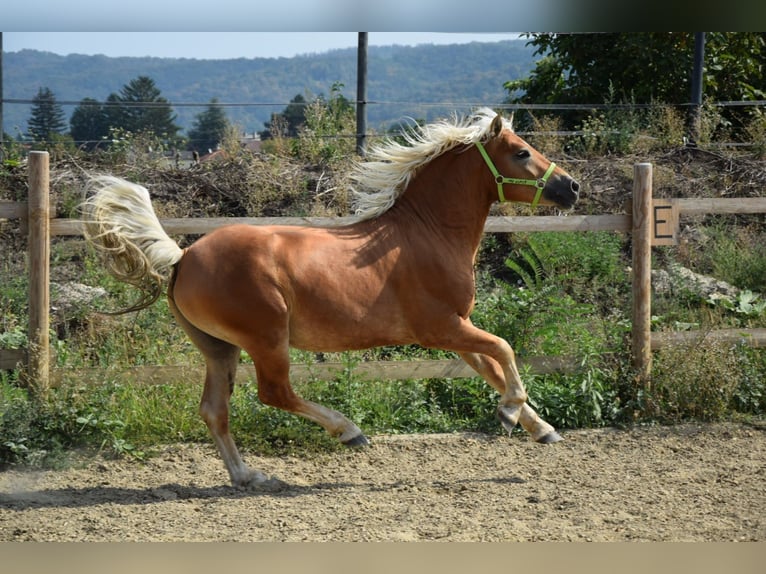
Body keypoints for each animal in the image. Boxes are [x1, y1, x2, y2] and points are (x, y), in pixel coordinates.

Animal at [79, 111, 584, 490]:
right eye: (521, 152)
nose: (572, 187)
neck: (427, 235)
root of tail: (183, 256)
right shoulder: (442, 328)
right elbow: (505, 350)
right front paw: (509, 414)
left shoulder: (454, 332)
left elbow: (493, 368)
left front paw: (540, 428)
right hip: (266, 338)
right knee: (274, 393)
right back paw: (349, 432)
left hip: (219, 347)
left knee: (214, 410)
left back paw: (250, 477)